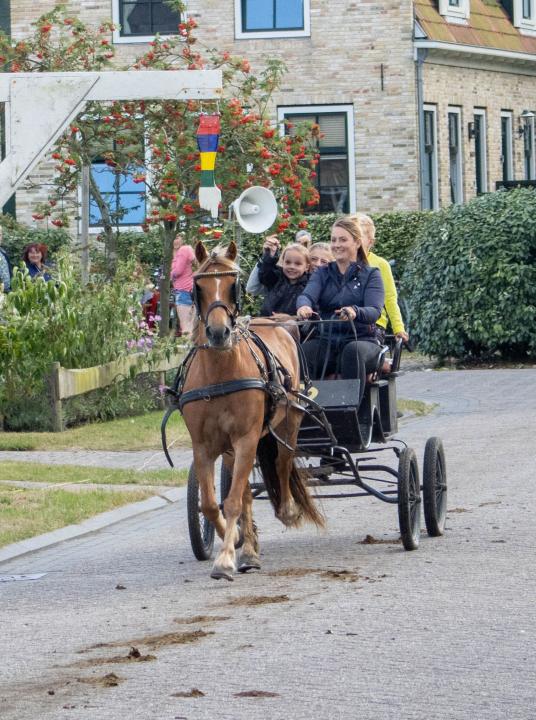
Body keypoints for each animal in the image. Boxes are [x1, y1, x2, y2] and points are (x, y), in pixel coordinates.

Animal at [180, 242, 322, 580]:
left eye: (234, 285)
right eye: (198, 287)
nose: (219, 333)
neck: (220, 373)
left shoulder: (246, 437)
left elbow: (232, 501)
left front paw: (225, 559)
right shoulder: (203, 445)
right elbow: (212, 503)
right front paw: (235, 541)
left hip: (288, 422)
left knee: (282, 463)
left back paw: (286, 510)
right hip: (236, 447)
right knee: (242, 490)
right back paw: (248, 549)